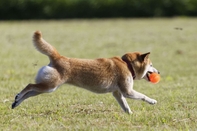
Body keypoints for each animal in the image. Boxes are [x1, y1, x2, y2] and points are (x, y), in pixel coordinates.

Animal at [11, 31, 160, 113]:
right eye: (151, 65)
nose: (158, 72)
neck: (128, 64)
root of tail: (58, 57)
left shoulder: (118, 93)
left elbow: (125, 106)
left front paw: (130, 115)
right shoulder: (127, 91)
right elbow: (143, 96)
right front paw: (152, 101)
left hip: (47, 87)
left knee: (30, 92)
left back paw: (16, 102)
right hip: (50, 86)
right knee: (29, 86)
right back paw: (18, 97)